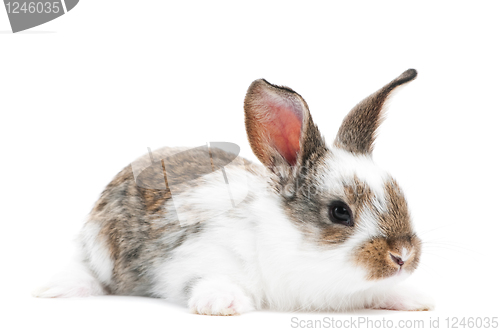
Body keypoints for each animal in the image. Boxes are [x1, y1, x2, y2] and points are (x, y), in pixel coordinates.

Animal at [35, 69, 434, 314]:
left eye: (400, 196)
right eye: (340, 212)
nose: (402, 255)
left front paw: (413, 299)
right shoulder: (196, 257)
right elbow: (206, 279)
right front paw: (222, 303)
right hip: (100, 250)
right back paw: (55, 288)